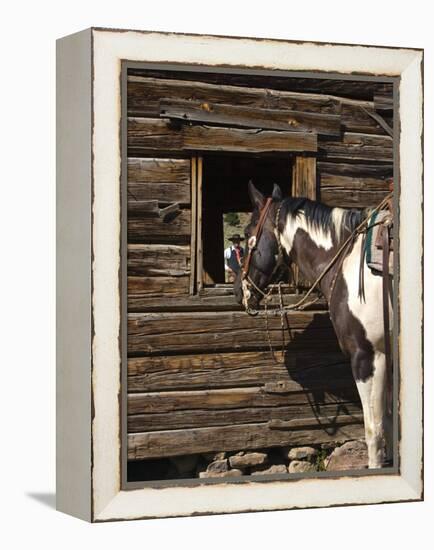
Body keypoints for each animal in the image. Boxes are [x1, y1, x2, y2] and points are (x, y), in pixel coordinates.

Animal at [234, 183, 394, 468]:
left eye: (248, 233)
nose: (237, 291)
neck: (348, 260)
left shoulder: (367, 356)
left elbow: (373, 430)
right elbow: (388, 424)